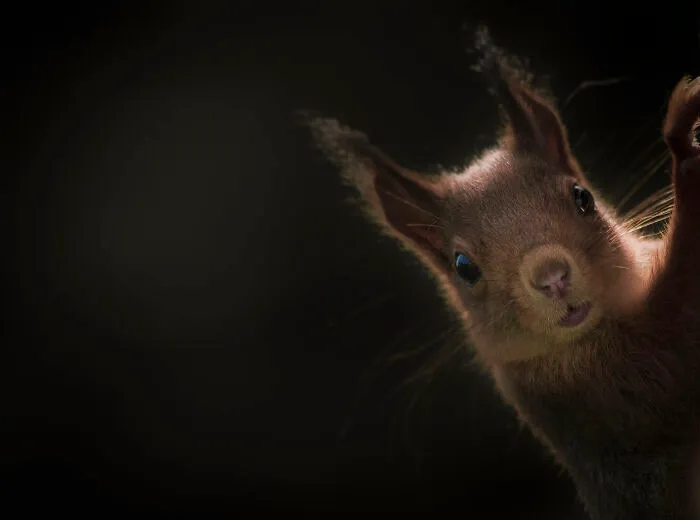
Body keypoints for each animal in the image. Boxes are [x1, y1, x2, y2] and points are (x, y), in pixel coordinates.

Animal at [305, 31, 700, 519]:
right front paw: (683, 141)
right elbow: (682, 322)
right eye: (463, 267)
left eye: (582, 197)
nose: (552, 277)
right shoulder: (624, 390)